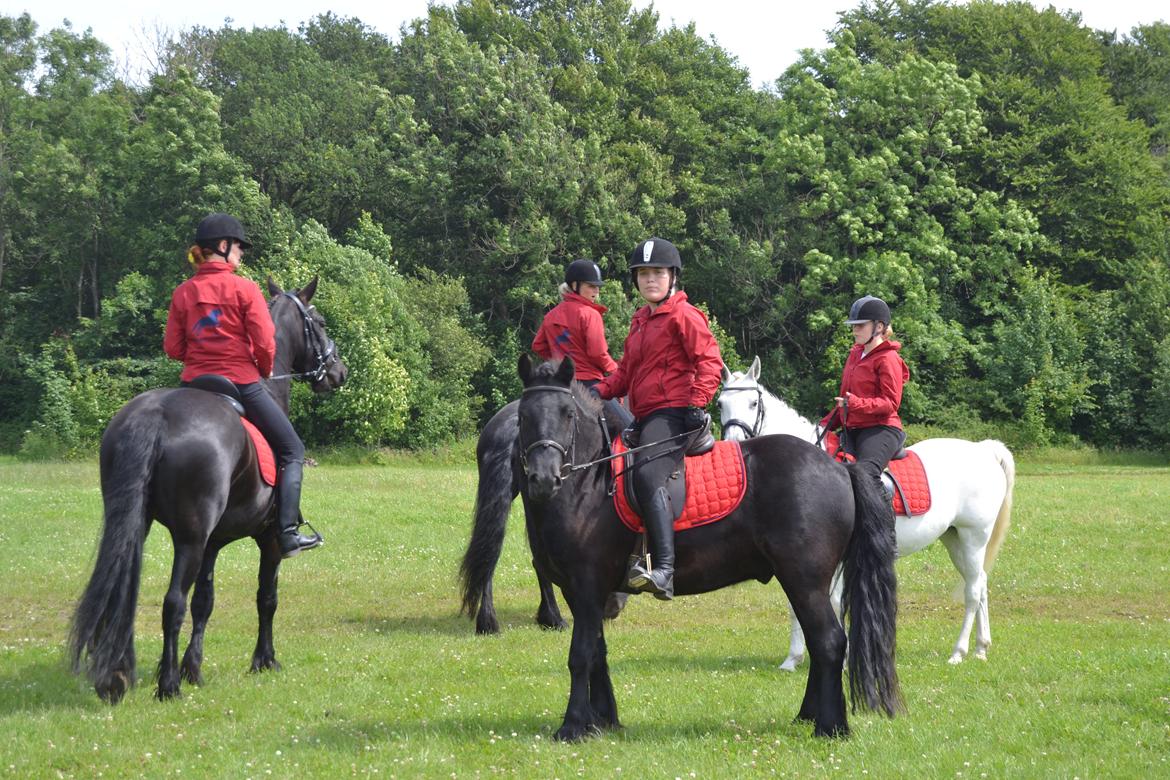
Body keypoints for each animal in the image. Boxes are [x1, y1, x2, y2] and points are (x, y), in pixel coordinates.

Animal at [69, 276, 347, 703]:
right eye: (318, 322)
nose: (338, 371)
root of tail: (157, 414)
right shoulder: (266, 540)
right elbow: (266, 598)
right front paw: (264, 660)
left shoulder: (213, 543)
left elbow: (205, 601)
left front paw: (193, 668)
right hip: (190, 538)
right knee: (172, 602)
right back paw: (166, 685)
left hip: (140, 526)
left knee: (126, 593)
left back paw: (117, 674)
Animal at [461, 356, 903, 739]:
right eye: (523, 416)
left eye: (567, 414)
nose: (543, 478)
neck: (589, 484)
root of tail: (840, 468)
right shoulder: (584, 591)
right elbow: (599, 651)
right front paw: (603, 719)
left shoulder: (586, 586)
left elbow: (581, 654)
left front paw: (572, 727)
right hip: (800, 581)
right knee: (820, 640)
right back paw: (809, 716)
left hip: (805, 580)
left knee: (829, 642)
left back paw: (831, 727)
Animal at [718, 357, 1014, 669]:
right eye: (721, 403)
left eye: (753, 402)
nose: (733, 442)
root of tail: (984, 450)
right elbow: (796, 603)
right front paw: (793, 659)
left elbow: (834, 602)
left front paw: (843, 657)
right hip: (955, 539)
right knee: (980, 582)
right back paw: (981, 647)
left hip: (973, 537)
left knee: (972, 591)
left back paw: (959, 651)